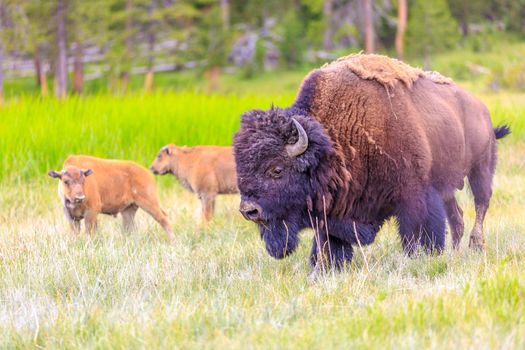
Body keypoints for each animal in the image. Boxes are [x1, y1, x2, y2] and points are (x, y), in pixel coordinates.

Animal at [232, 54, 508, 270]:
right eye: (241, 168)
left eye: (276, 169)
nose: (248, 210)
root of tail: (482, 109)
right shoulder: (334, 210)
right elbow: (328, 242)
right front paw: (324, 267)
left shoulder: (415, 197)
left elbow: (418, 232)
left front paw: (424, 256)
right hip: (450, 185)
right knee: (457, 216)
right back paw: (456, 252)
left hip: (481, 169)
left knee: (481, 204)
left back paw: (475, 245)